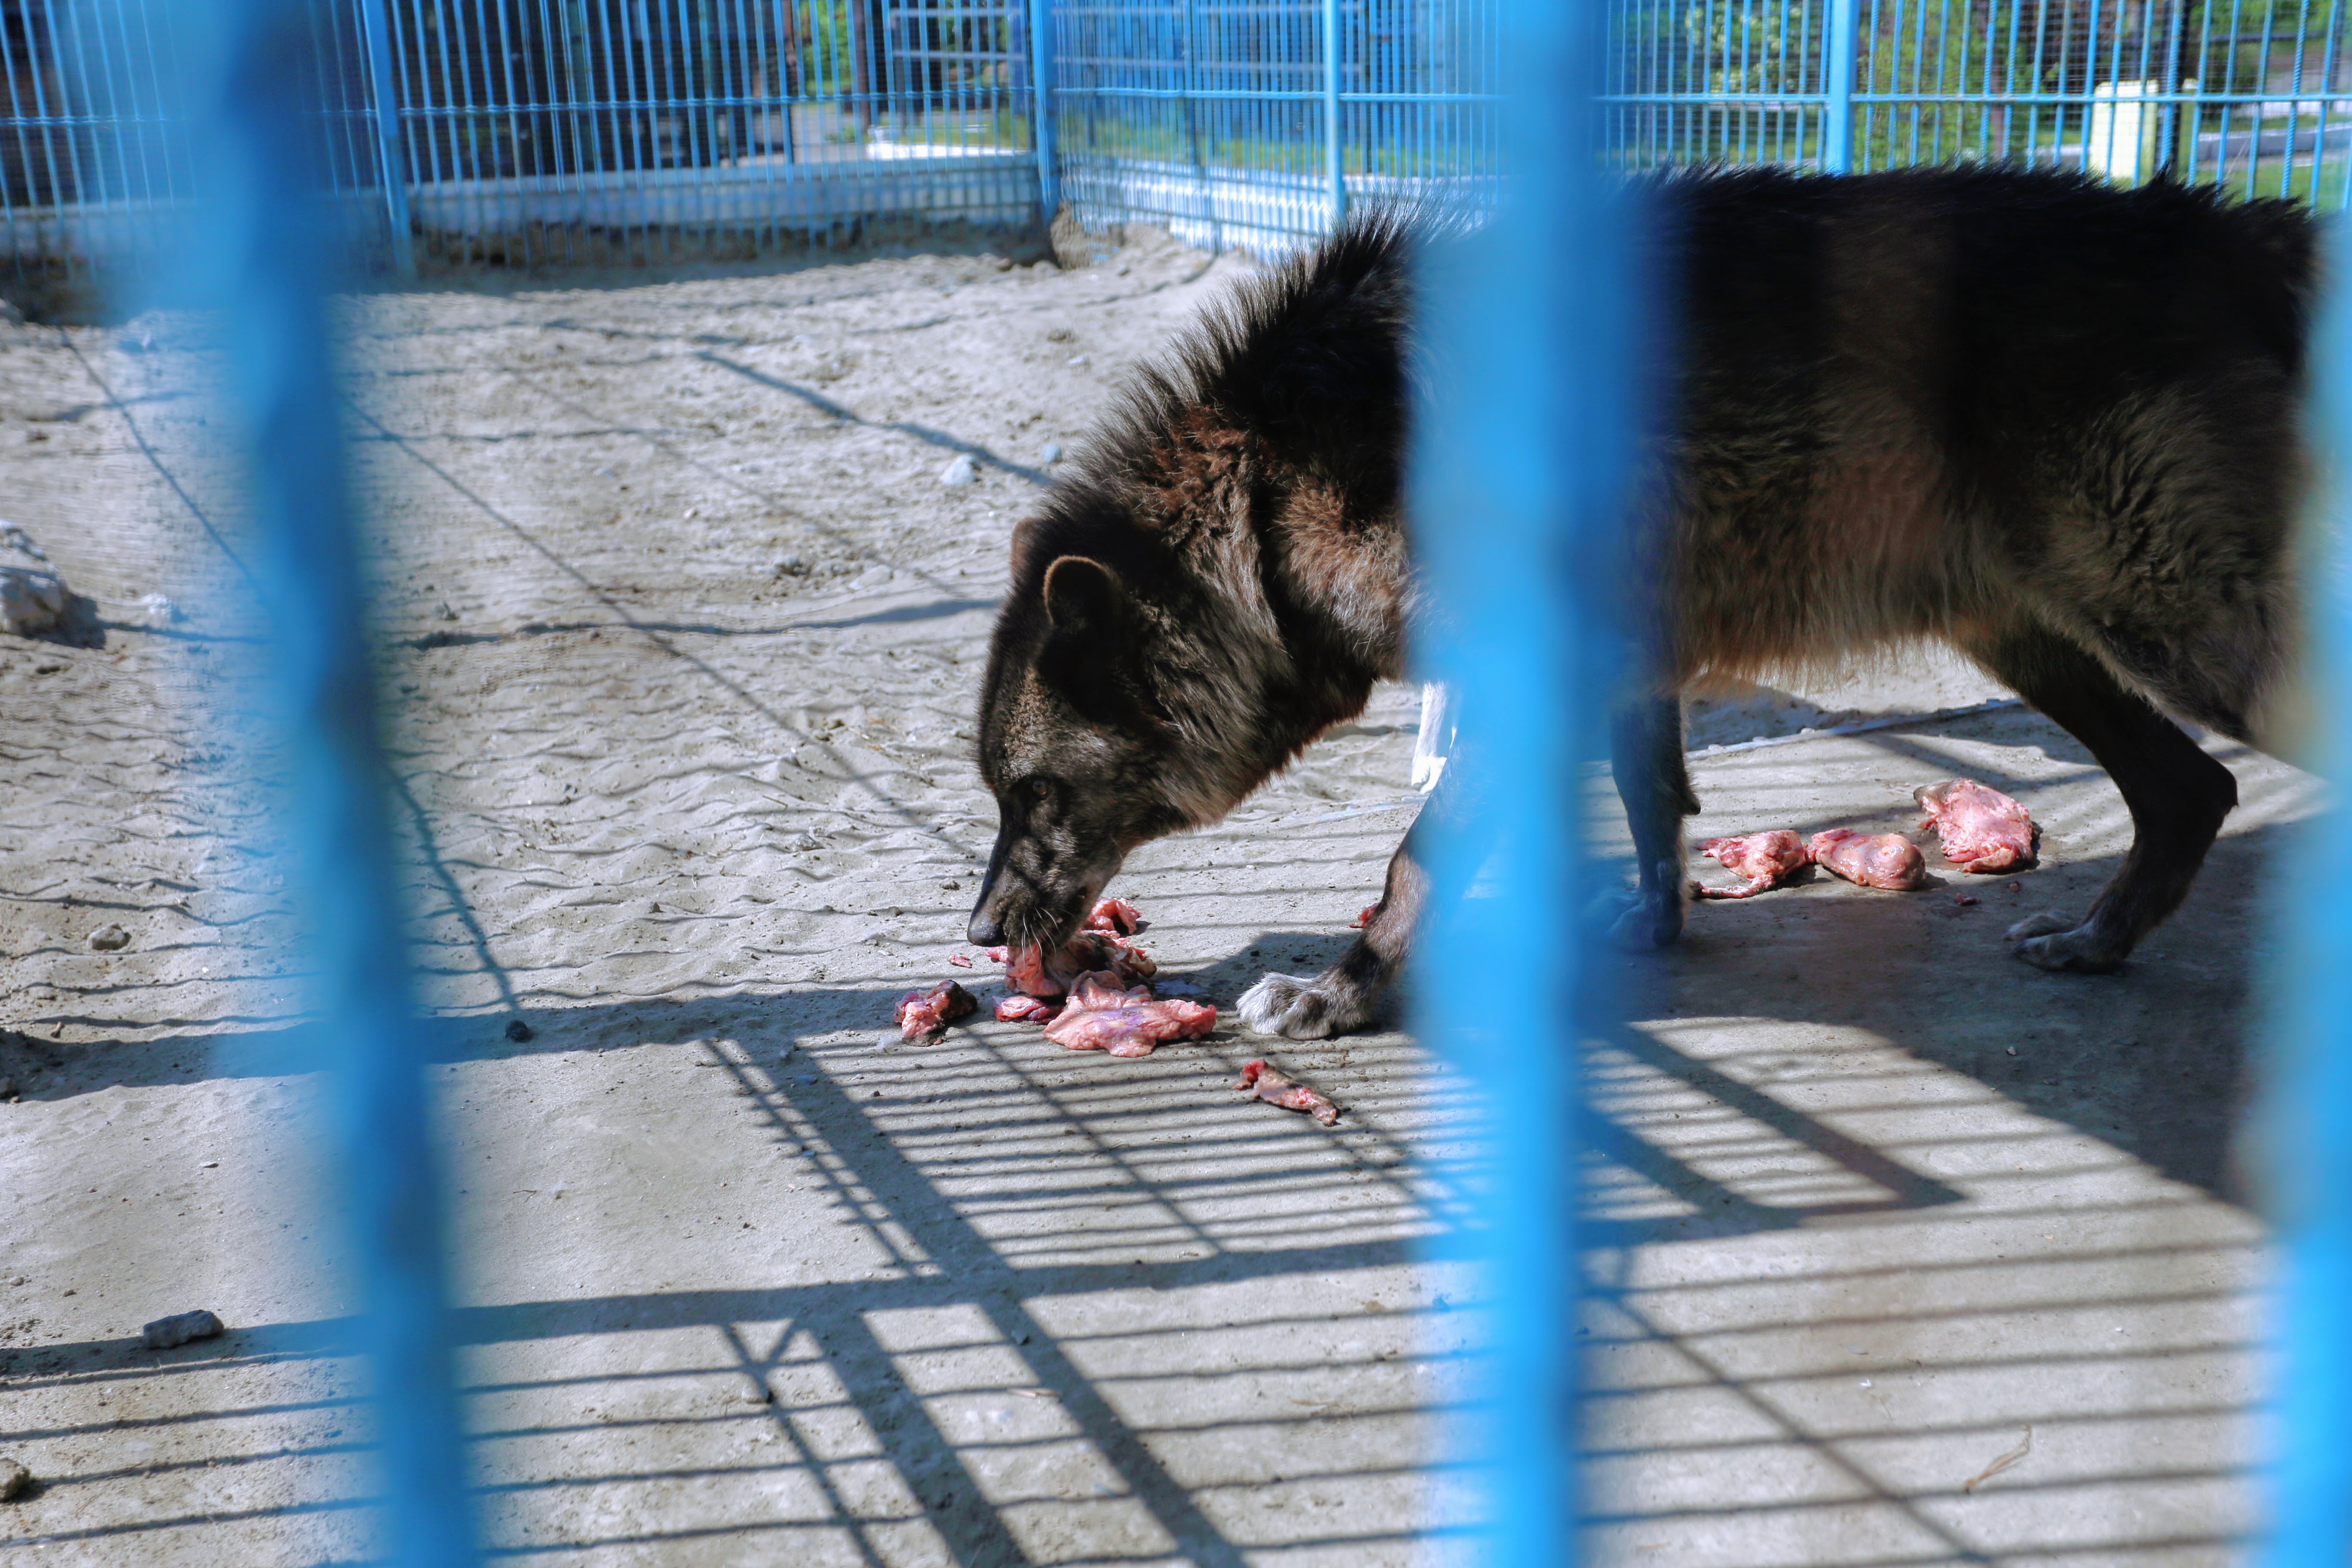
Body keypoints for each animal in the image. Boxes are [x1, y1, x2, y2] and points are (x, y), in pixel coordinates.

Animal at [969, 166, 2317, 1038]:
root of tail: (2232, 232)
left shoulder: (1531, 677)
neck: (1271, 490)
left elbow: (1414, 862)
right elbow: (1650, 794)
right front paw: (1656, 927)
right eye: (999, 793)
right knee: (2194, 791)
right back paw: (2094, 943)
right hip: (2038, 637)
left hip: (2176, 634)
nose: (980, 933)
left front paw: (1340, 995)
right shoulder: (1620, 664)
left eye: (1034, 795)